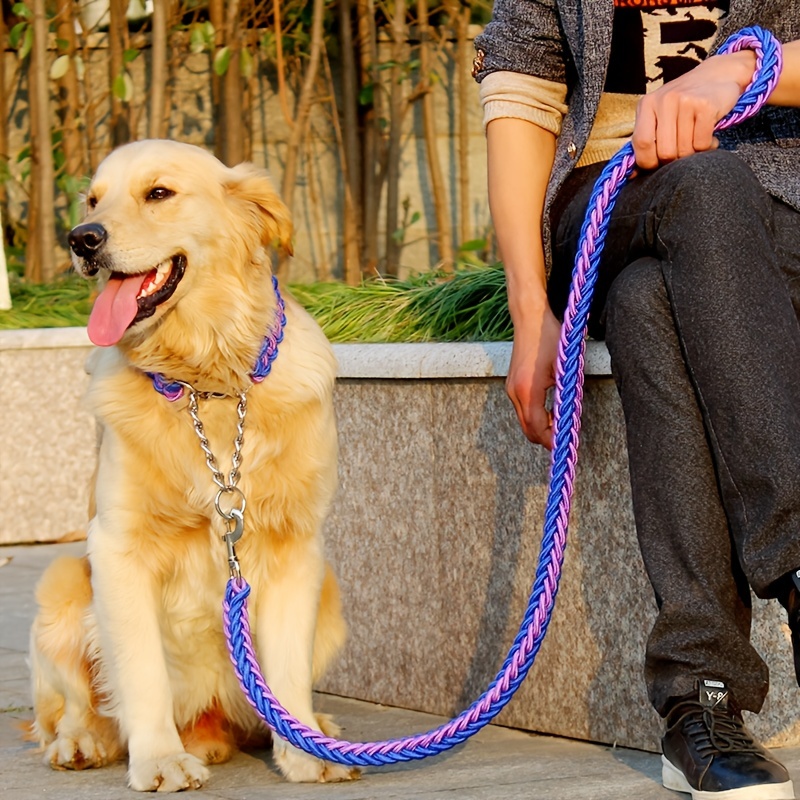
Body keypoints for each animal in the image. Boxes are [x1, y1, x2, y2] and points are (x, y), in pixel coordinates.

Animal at [29, 141, 358, 792]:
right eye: (92, 200)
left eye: (159, 193)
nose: (81, 239)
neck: (207, 383)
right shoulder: (118, 546)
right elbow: (141, 671)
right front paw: (159, 758)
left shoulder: (295, 545)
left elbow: (285, 671)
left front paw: (304, 750)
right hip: (62, 581)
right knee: (74, 704)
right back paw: (83, 740)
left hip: (330, 597)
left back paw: (317, 727)